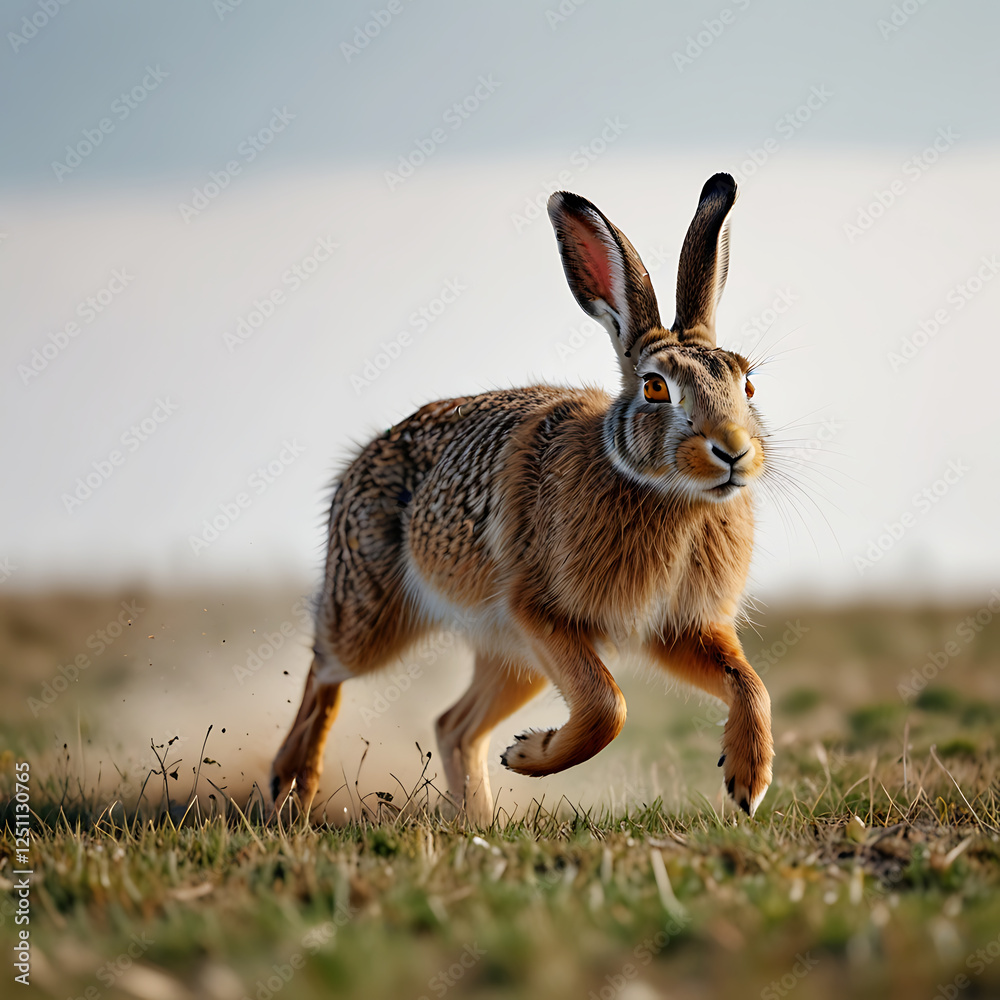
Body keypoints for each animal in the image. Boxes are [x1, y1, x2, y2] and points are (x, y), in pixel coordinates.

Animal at [270, 172, 774, 825]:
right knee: (326, 668)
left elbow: (749, 684)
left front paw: (748, 781)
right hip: (377, 608)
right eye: (656, 387)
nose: (733, 451)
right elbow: (607, 708)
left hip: (514, 657)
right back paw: (290, 783)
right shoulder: (539, 611)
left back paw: (477, 822)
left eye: (748, 382)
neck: (664, 492)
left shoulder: (678, 629)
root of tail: (354, 469)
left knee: (454, 725)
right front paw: (532, 756)